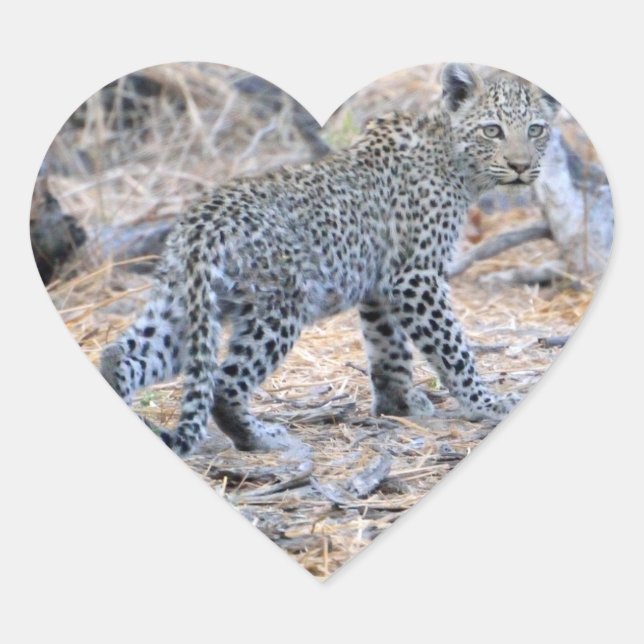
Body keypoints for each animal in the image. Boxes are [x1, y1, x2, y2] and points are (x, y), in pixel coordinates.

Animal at [100, 63, 558, 456]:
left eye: (535, 130)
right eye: (492, 130)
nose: (521, 166)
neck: (455, 161)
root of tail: (201, 222)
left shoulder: (380, 287)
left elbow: (388, 350)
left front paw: (398, 406)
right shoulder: (416, 278)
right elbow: (453, 349)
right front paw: (486, 403)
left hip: (185, 303)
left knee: (123, 354)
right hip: (278, 306)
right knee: (223, 385)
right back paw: (264, 438)